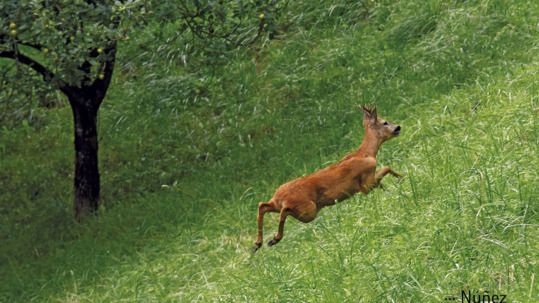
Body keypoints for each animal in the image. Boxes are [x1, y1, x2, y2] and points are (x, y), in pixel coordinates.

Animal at [254, 105, 404, 253]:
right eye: (385, 122)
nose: (398, 127)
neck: (367, 153)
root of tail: (280, 197)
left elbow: (382, 181)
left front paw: (391, 190)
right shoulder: (365, 183)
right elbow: (386, 168)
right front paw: (401, 179)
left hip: (282, 205)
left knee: (263, 205)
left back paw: (258, 244)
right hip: (308, 210)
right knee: (283, 211)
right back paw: (273, 239)